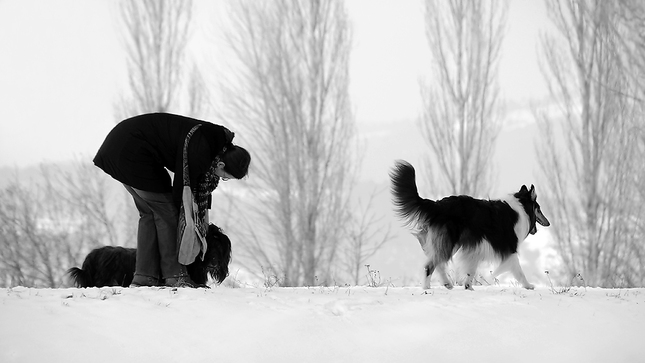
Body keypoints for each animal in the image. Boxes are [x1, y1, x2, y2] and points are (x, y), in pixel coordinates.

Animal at [388, 161, 548, 292]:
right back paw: (428, 287)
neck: (521, 208)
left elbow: (471, 270)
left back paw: (446, 284)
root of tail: (438, 205)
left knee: (437, 262)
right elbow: (518, 270)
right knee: (431, 264)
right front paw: (528, 285)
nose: (549, 223)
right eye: (539, 208)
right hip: (450, 241)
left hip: (450, 243)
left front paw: (468, 286)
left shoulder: (475, 248)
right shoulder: (509, 247)